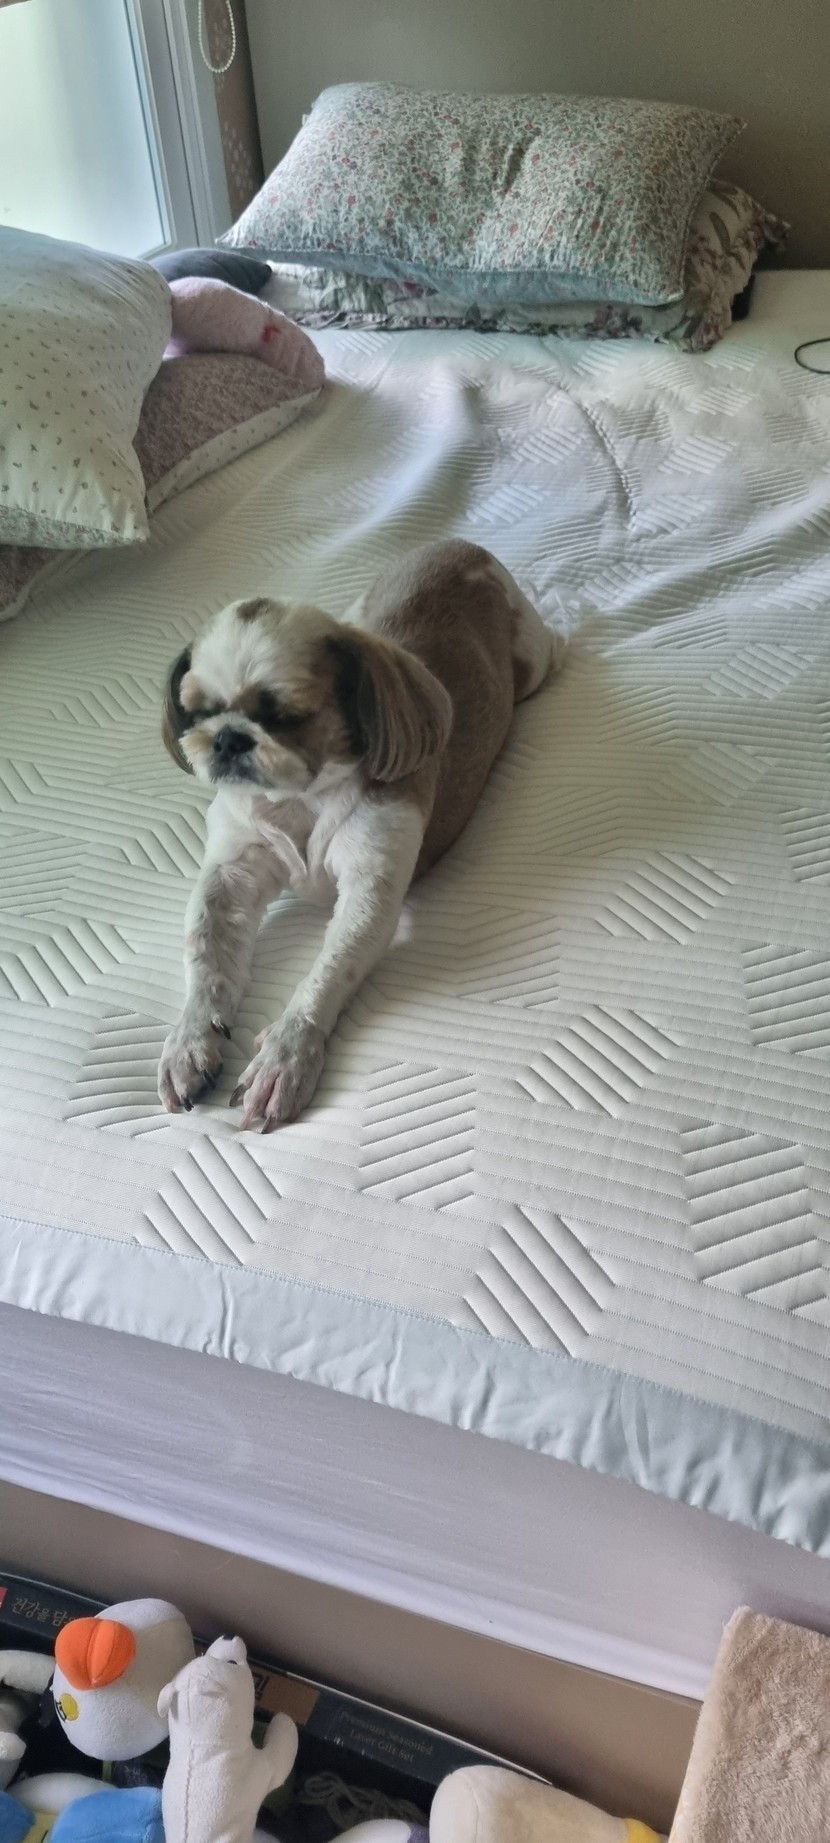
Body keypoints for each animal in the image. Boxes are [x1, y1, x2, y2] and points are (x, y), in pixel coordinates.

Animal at [158, 539, 562, 1131]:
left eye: (287, 716)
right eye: (197, 713)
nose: (228, 738)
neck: (301, 798)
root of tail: (462, 547)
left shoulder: (370, 884)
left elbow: (329, 969)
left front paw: (286, 1055)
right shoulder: (232, 872)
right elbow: (206, 949)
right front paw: (190, 1040)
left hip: (531, 661)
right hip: (357, 607)